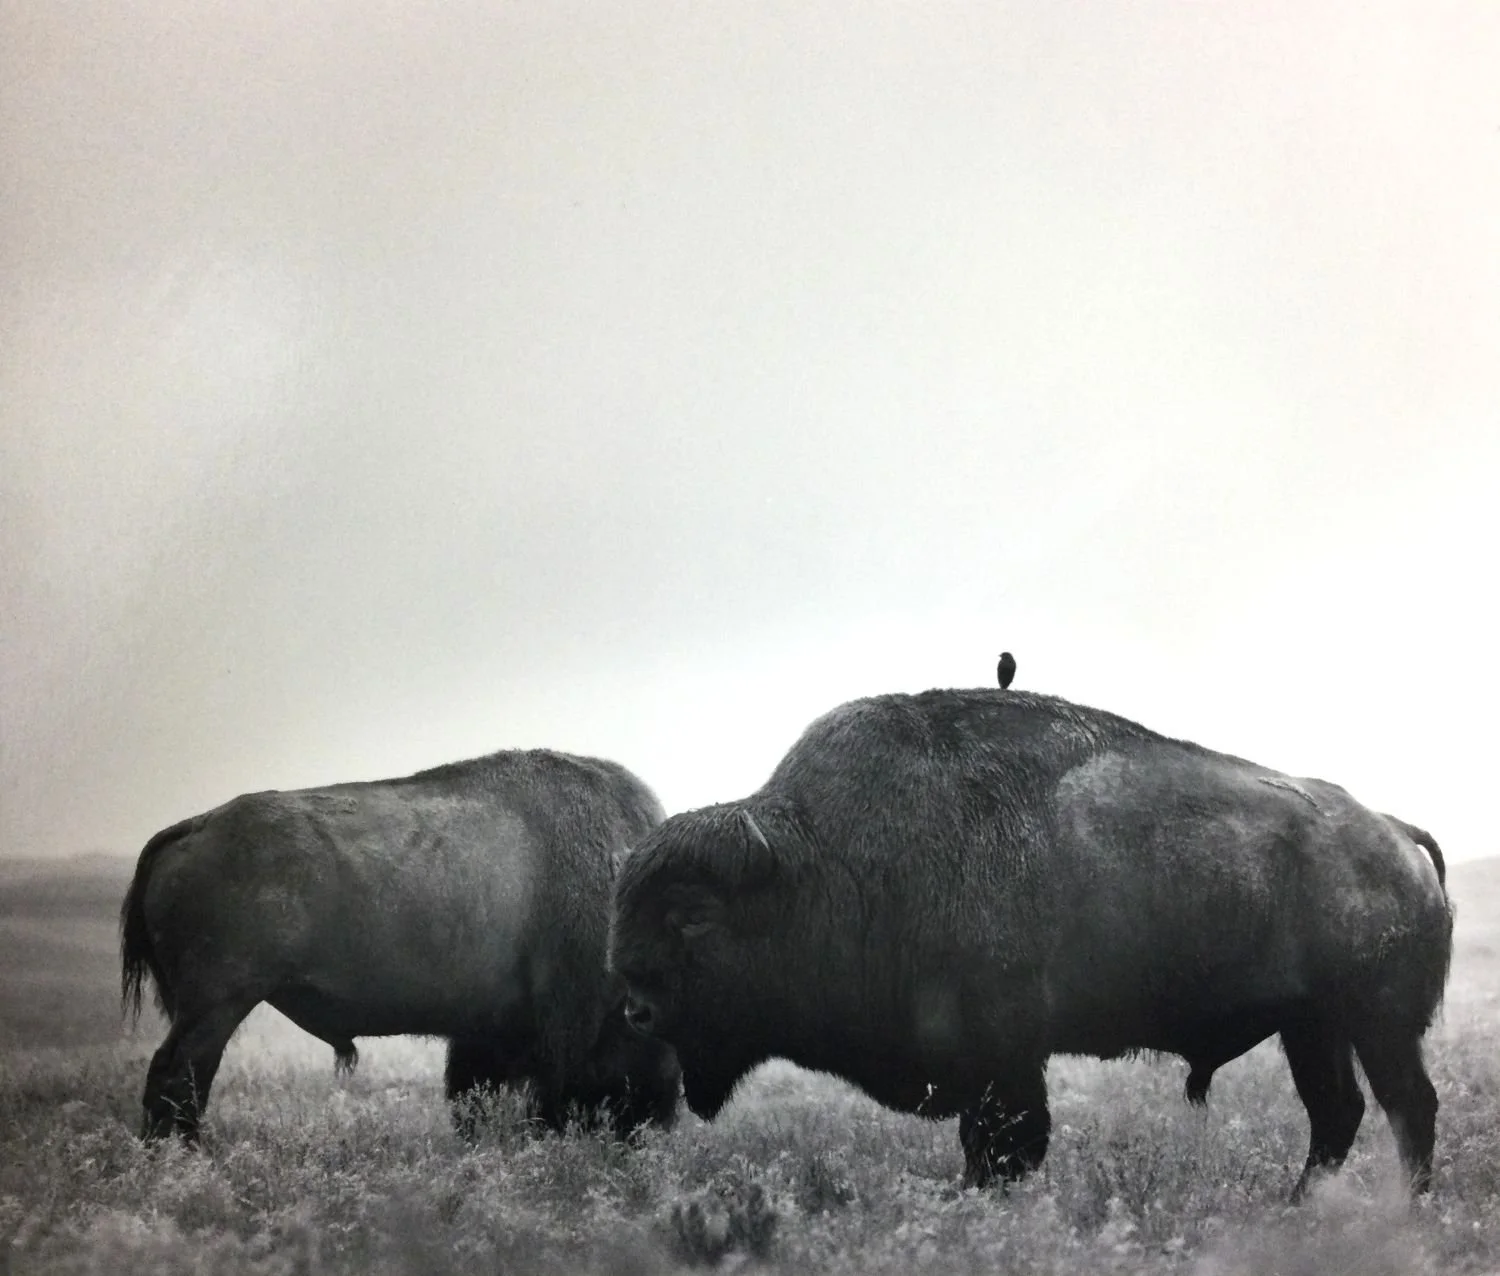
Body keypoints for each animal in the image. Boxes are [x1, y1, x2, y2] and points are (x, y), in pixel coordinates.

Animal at [122, 748, 681, 1141]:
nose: (660, 1122)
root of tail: (195, 826)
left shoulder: (487, 1032)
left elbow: (473, 1099)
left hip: (206, 1006)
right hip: (218, 1005)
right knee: (180, 1076)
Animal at [610, 689, 1452, 1199]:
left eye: (692, 915)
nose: (635, 1010)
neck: (823, 862)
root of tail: (1395, 832)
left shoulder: (1004, 1061)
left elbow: (1005, 1148)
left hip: (1377, 1022)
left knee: (1406, 1106)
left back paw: (1397, 1213)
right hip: (1312, 1025)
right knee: (1338, 1113)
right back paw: (1301, 1210)